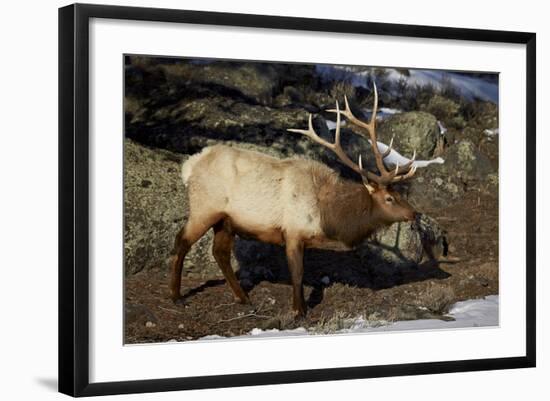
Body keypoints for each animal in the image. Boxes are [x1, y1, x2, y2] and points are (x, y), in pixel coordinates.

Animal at [170, 83, 420, 316]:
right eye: (389, 198)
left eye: (400, 194)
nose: (414, 213)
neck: (327, 216)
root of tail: (190, 166)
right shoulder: (292, 231)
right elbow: (297, 274)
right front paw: (299, 311)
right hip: (204, 207)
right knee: (181, 241)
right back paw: (177, 296)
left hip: (226, 220)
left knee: (219, 252)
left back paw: (243, 298)